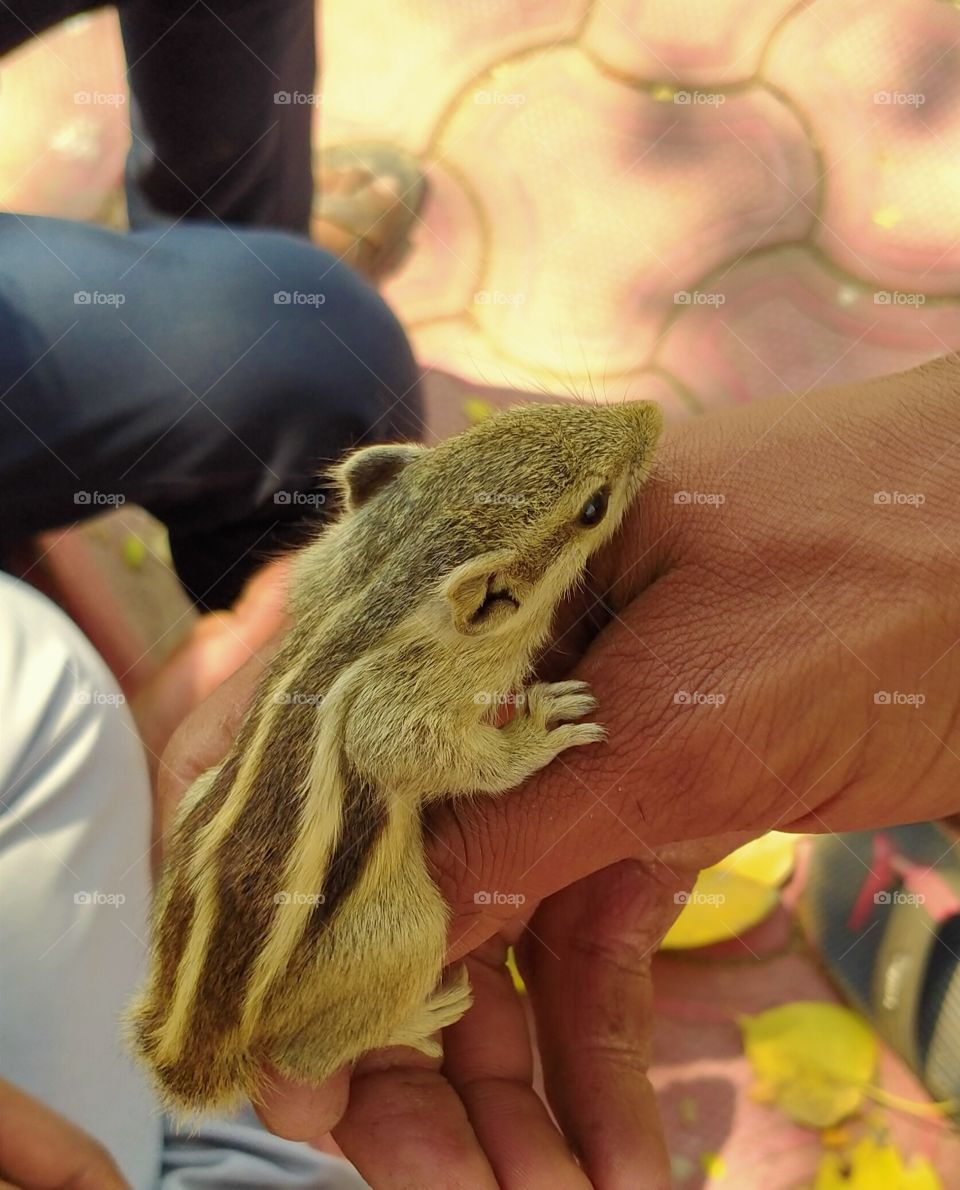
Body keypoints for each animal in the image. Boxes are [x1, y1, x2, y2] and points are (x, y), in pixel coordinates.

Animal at [126, 398, 663, 1118]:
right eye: (593, 507)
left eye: (524, 414)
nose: (652, 413)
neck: (388, 582)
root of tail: (197, 1038)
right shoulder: (396, 701)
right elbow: (416, 747)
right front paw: (535, 730)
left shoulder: (323, 572)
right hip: (405, 933)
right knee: (301, 1061)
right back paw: (413, 1021)